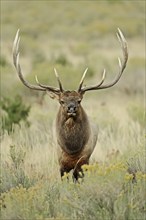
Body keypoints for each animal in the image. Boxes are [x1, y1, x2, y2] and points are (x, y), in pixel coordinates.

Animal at [13, 28, 128, 180]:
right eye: (62, 101)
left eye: (79, 100)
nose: (71, 108)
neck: (72, 148)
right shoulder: (61, 162)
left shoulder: (84, 159)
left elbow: (78, 176)